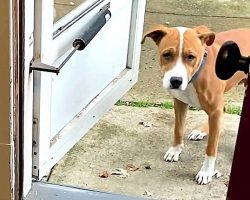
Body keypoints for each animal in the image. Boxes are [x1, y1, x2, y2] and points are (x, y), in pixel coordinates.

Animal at [142, 24, 249, 184]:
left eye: (190, 57)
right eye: (166, 54)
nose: (176, 81)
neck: (195, 74)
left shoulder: (215, 111)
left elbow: (211, 148)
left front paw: (206, 172)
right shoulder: (180, 102)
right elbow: (178, 129)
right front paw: (175, 150)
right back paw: (201, 131)